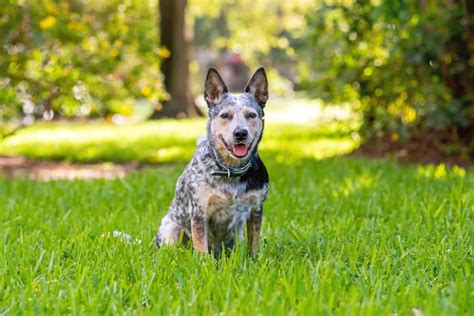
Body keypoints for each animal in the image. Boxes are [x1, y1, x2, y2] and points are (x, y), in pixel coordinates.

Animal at [155, 67, 268, 256]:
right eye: (225, 115)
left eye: (251, 115)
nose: (240, 133)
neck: (231, 170)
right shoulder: (199, 212)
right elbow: (201, 248)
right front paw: (203, 262)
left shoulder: (256, 209)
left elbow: (254, 245)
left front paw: (254, 260)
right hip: (171, 228)